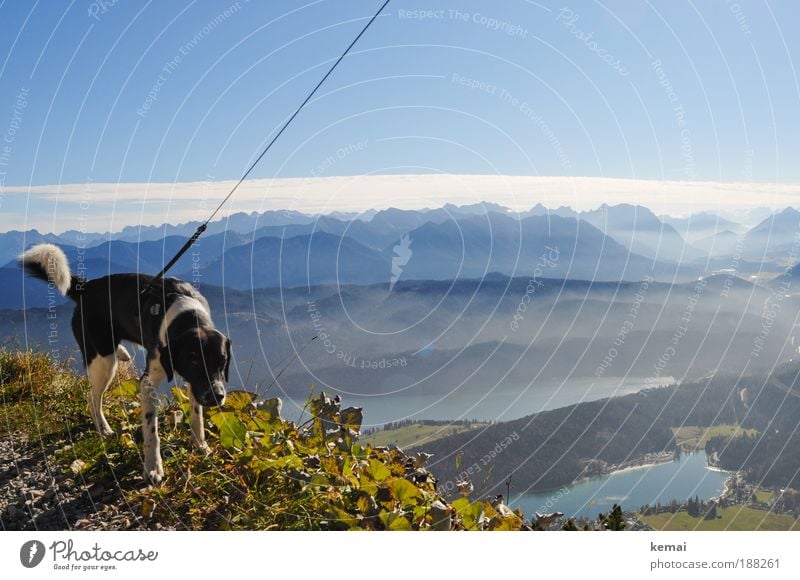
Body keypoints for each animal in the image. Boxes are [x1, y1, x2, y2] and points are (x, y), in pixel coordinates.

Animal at [18, 242, 230, 482]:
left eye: (222, 360)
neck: (185, 315)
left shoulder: (196, 383)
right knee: (92, 397)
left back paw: (122, 352)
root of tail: (87, 287)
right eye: (193, 360)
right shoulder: (149, 382)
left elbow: (197, 415)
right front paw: (153, 467)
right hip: (102, 362)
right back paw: (104, 429)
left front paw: (201, 446)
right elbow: (151, 430)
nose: (216, 396)